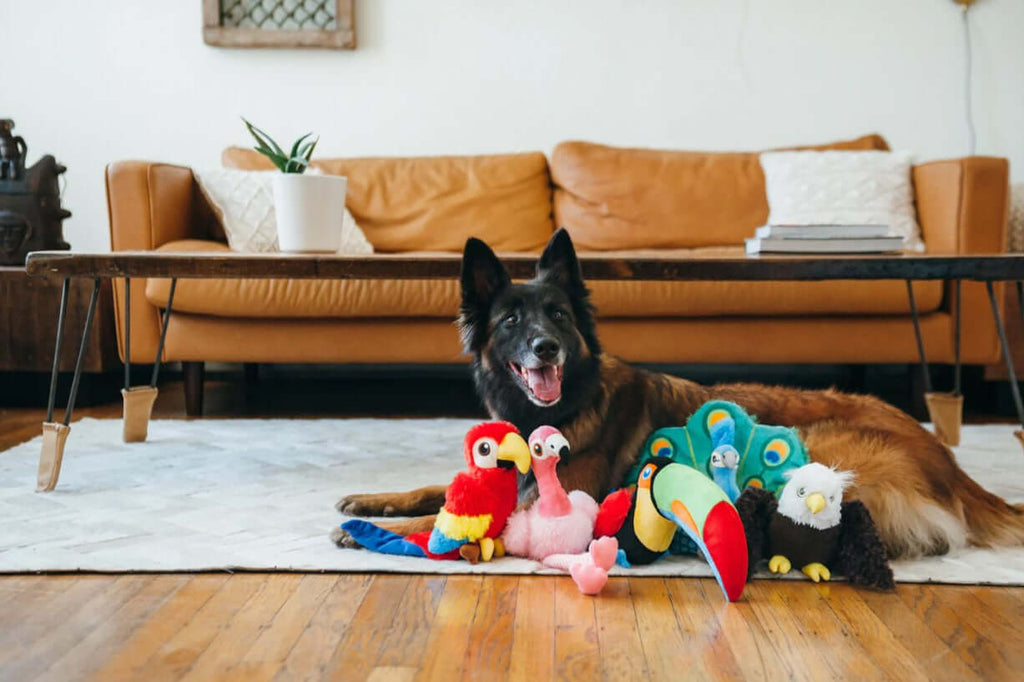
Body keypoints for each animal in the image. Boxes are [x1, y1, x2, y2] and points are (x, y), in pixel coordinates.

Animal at [335, 228, 1024, 557]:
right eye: (510, 321)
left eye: (557, 316)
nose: (546, 348)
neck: (566, 405)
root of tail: (949, 462)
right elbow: (436, 487)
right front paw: (372, 500)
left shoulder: (560, 506)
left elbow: (454, 515)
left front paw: (382, 532)